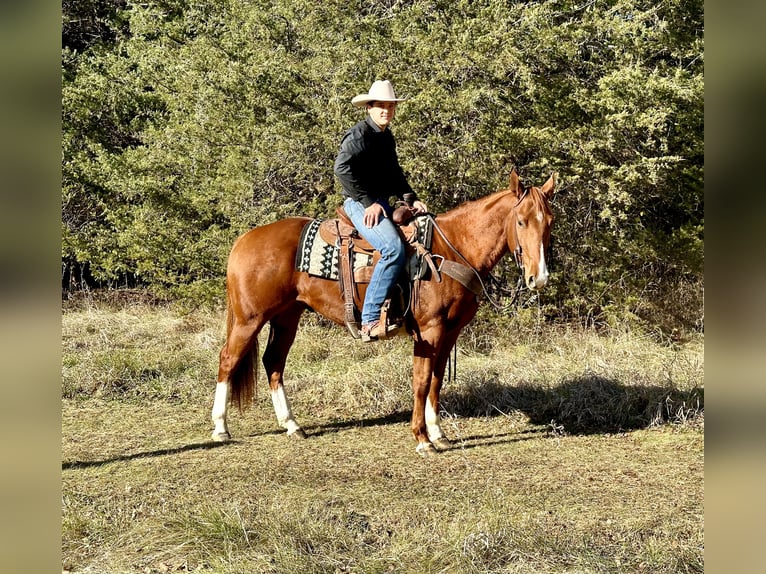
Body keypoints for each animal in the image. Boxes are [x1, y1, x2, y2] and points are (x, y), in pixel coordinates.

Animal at [213, 169, 556, 456]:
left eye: (549, 222)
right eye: (521, 221)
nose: (537, 278)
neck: (451, 250)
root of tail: (244, 239)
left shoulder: (450, 331)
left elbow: (437, 380)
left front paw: (439, 433)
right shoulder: (429, 331)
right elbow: (421, 381)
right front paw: (422, 439)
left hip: (287, 316)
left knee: (273, 362)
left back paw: (292, 425)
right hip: (249, 319)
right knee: (228, 360)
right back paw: (220, 428)